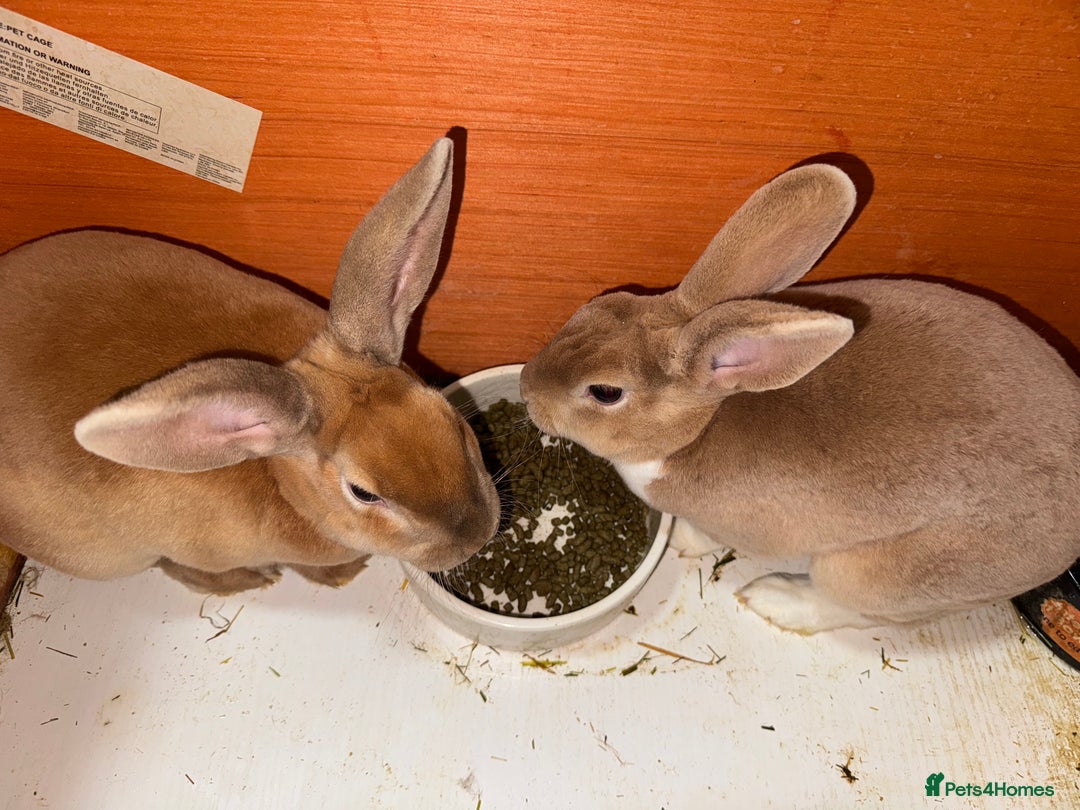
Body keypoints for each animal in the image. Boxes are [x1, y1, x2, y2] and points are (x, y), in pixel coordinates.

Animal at [520, 162, 1080, 633]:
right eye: (595, 305)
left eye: (606, 392)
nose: (526, 388)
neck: (699, 426)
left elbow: (710, 536)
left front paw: (679, 539)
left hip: (873, 571)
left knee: (852, 608)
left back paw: (775, 599)